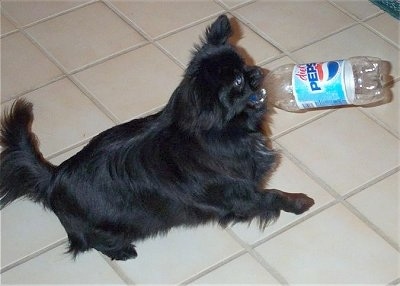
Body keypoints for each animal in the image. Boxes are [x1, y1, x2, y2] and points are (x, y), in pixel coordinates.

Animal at [0, 16, 314, 262]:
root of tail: (54, 178)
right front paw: (300, 201)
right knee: (91, 243)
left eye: (245, 61)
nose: (258, 72)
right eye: (237, 81)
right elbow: (271, 196)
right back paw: (122, 251)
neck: (223, 131)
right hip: (107, 229)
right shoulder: (239, 196)